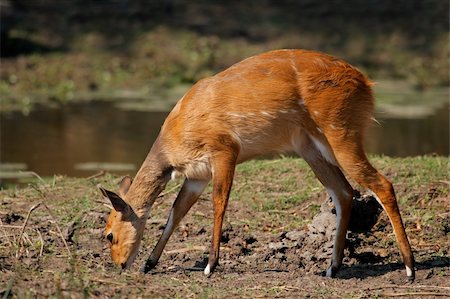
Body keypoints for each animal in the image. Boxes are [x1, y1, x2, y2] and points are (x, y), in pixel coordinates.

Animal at [98, 49, 414, 282]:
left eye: (109, 234)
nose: (120, 265)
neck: (174, 141)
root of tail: (366, 83)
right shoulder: (197, 175)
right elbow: (175, 212)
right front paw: (149, 263)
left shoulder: (225, 150)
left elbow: (219, 203)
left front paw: (210, 266)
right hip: (309, 146)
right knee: (344, 191)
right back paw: (331, 268)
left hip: (341, 131)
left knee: (382, 184)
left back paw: (409, 268)